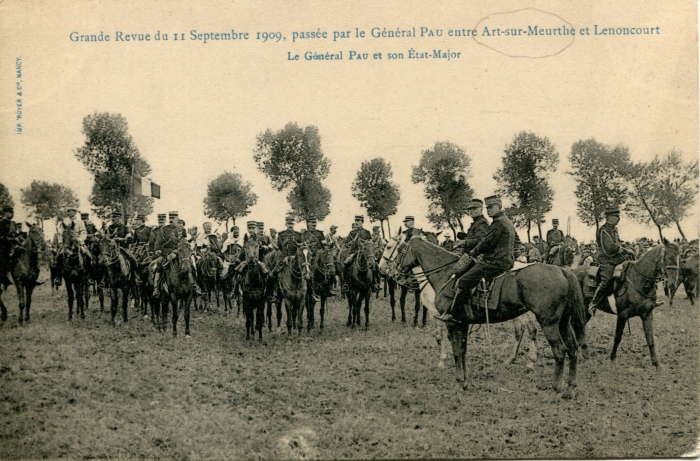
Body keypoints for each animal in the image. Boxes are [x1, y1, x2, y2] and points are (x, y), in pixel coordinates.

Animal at [400, 234, 584, 396]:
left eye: (401, 249)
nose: (398, 271)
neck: (448, 274)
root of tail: (562, 270)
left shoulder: (451, 322)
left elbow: (456, 351)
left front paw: (458, 381)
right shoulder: (462, 322)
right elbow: (463, 351)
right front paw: (465, 381)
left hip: (548, 322)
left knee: (559, 350)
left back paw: (556, 386)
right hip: (563, 322)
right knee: (572, 349)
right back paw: (570, 387)